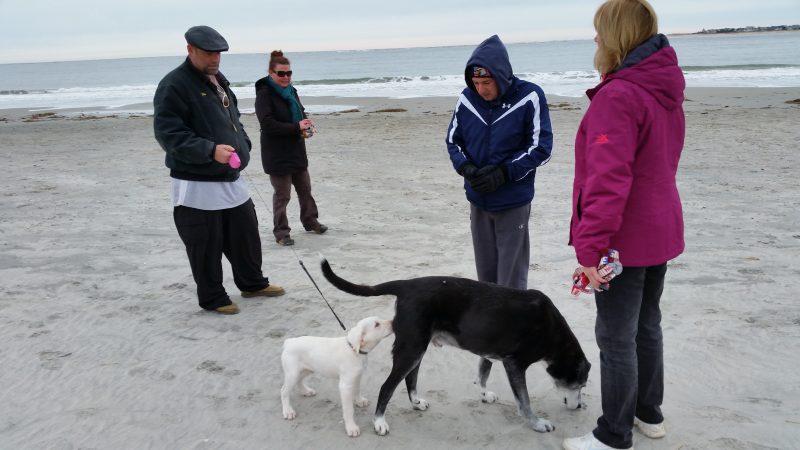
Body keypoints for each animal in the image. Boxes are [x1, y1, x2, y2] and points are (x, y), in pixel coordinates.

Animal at [322, 256, 592, 436]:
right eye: (579, 385)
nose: (580, 406)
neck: (552, 332)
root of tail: (406, 284)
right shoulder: (515, 364)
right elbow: (524, 401)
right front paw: (536, 423)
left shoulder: (489, 352)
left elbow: (482, 374)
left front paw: (484, 394)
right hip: (411, 348)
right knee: (387, 386)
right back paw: (379, 421)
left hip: (416, 348)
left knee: (411, 378)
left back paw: (416, 402)